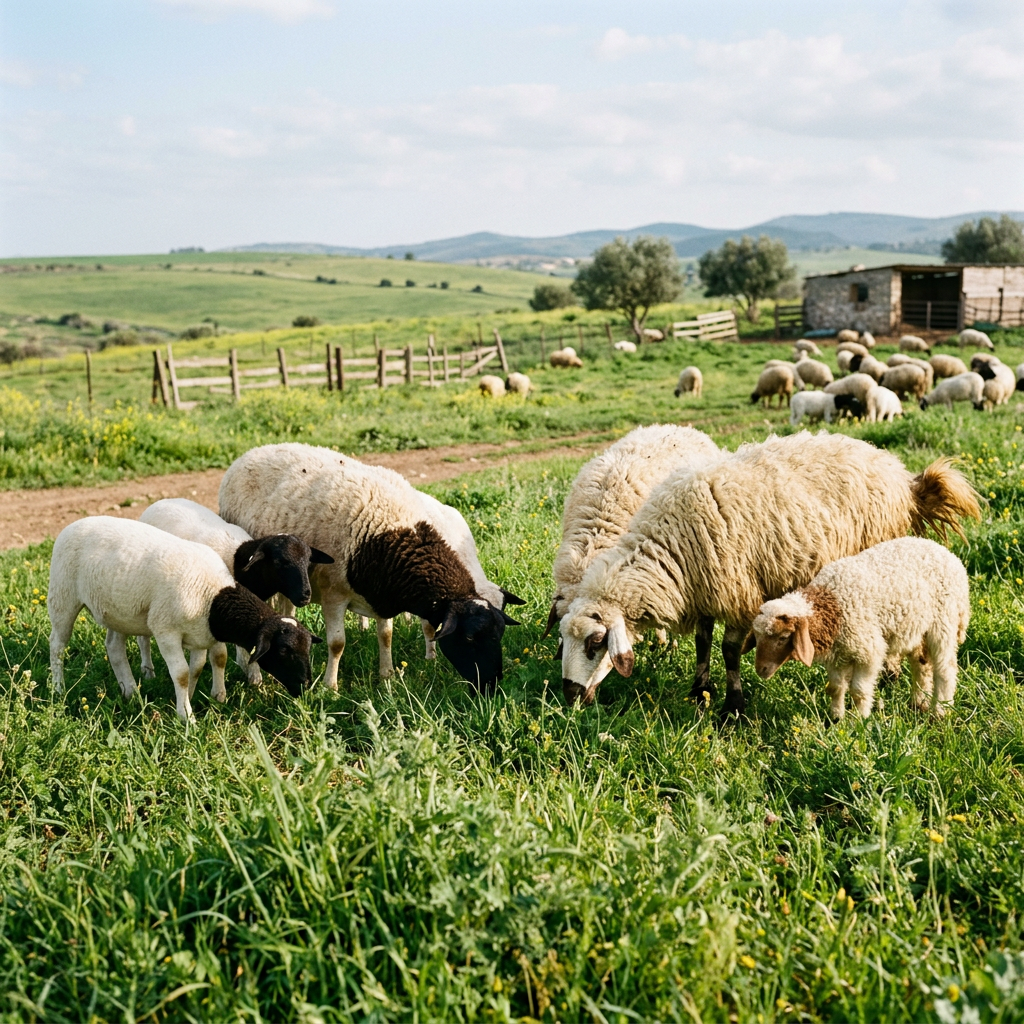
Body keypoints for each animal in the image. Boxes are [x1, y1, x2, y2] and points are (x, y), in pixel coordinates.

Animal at [48, 517, 322, 720]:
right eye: (284, 651)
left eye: (308, 648)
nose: (306, 685)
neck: (214, 597)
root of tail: (73, 524)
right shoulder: (165, 631)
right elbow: (180, 672)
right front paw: (186, 717)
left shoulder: (199, 634)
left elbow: (197, 668)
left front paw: (189, 698)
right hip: (63, 597)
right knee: (57, 646)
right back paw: (59, 690)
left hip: (118, 610)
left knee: (114, 648)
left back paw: (130, 692)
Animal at [137, 497, 333, 692]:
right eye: (278, 561)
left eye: (308, 561)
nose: (305, 595)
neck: (241, 565)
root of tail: (159, 502)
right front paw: (253, 677)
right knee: (143, 637)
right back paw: (148, 672)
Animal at [219, 444, 522, 694]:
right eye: (469, 637)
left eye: (500, 634)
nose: (492, 685)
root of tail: (249, 453)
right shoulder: (334, 595)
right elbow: (337, 644)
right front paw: (330, 687)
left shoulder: (383, 594)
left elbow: (386, 635)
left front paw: (387, 676)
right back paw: (253, 671)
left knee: (286, 608)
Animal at [750, 538, 969, 719]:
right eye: (758, 638)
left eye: (783, 637)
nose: (760, 670)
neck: (832, 605)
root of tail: (948, 554)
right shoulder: (837, 655)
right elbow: (836, 688)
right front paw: (835, 720)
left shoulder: (868, 652)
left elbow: (859, 692)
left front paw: (859, 722)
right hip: (916, 628)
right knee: (921, 664)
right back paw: (918, 705)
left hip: (944, 622)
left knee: (945, 669)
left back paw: (940, 712)